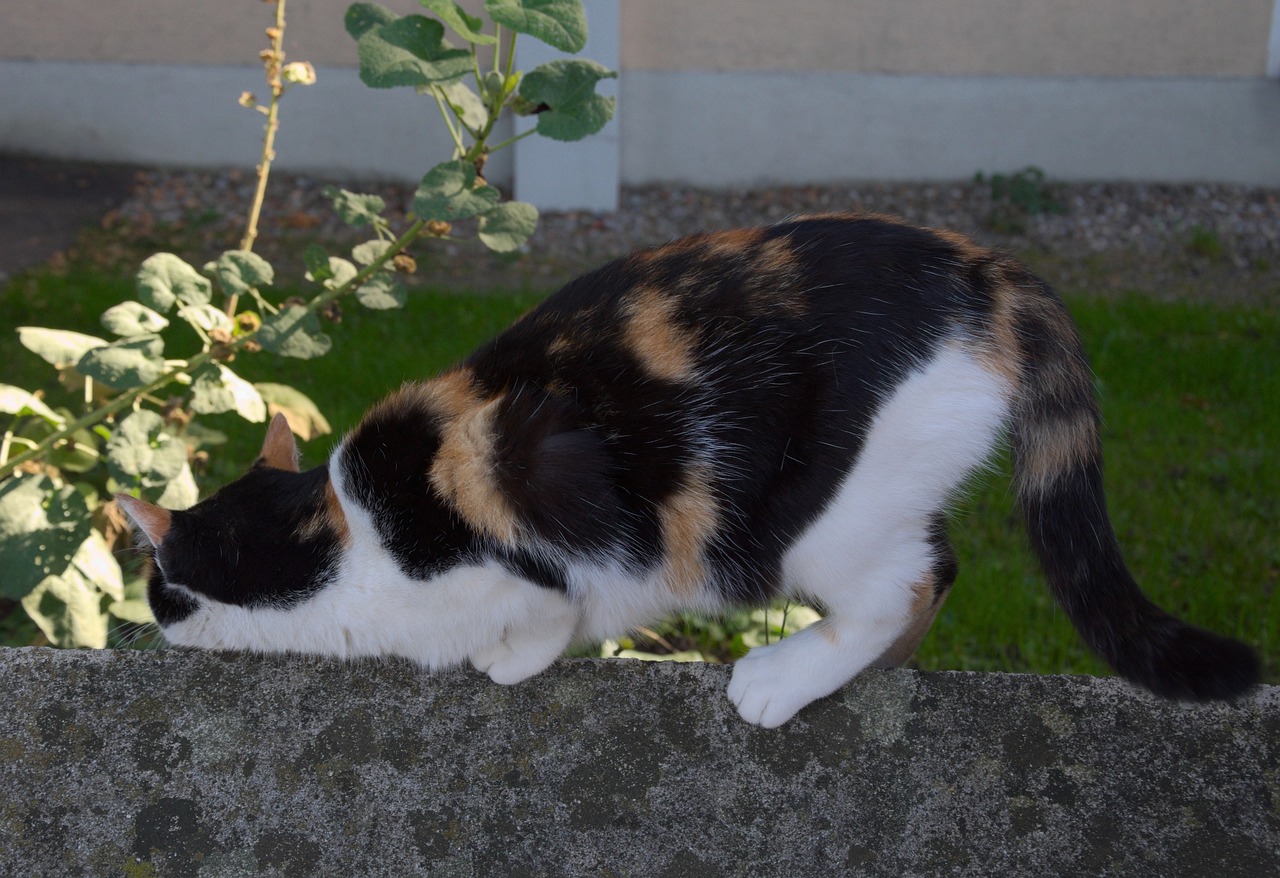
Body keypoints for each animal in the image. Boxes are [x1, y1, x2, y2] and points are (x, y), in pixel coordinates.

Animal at [120, 211, 1259, 726]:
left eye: (150, 583)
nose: (143, 619)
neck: (340, 536)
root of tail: (987, 271)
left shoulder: (531, 559)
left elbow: (546, 617)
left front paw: (506, 661)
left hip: (812, 518)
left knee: (910, 582)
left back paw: (780, 677)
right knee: (936, 571)